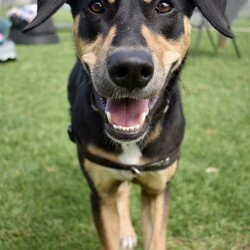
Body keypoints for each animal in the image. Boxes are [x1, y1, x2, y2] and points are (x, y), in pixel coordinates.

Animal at [24, 0, 233, 249]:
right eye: (96, 6)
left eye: (164, 6)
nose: (131, 69)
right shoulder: (101, 193)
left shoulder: (157, 189)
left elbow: (156, 239)